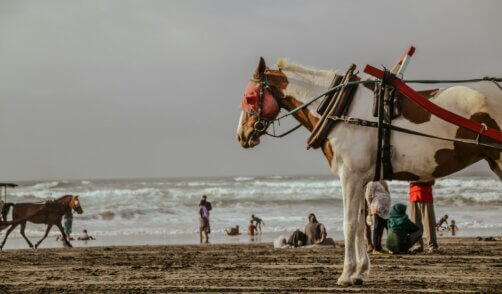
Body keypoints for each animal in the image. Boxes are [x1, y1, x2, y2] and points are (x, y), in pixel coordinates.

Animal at [236, 56, 502, 284]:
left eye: (249, 97)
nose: (241, 136)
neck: (339, 106)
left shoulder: (350, 177)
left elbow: (349, 224)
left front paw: (346, 274)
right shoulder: (362, 179)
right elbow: (361, 223)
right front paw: (360, 272)